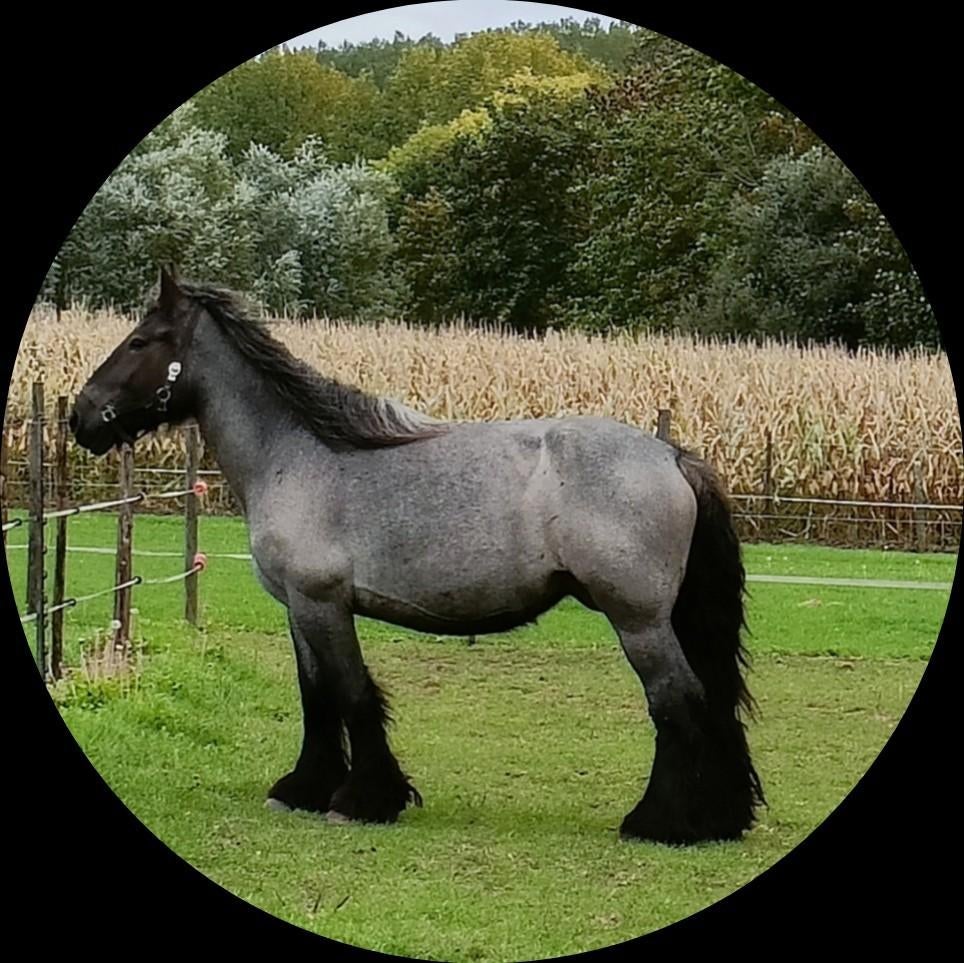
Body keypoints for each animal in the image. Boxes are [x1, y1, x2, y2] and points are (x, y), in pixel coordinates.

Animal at [69, 268, 764, 845]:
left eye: (141, 341)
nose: (81, 416)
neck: (299, 457)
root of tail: (671, 455)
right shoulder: (298, 609)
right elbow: (316, 696)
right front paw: (303, 789)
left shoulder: (323, 603)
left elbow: (351, 694)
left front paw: (363, 799)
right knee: (709, 701)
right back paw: (721, 818)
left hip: (638, 621)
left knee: (677, 702)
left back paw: (659, 823)